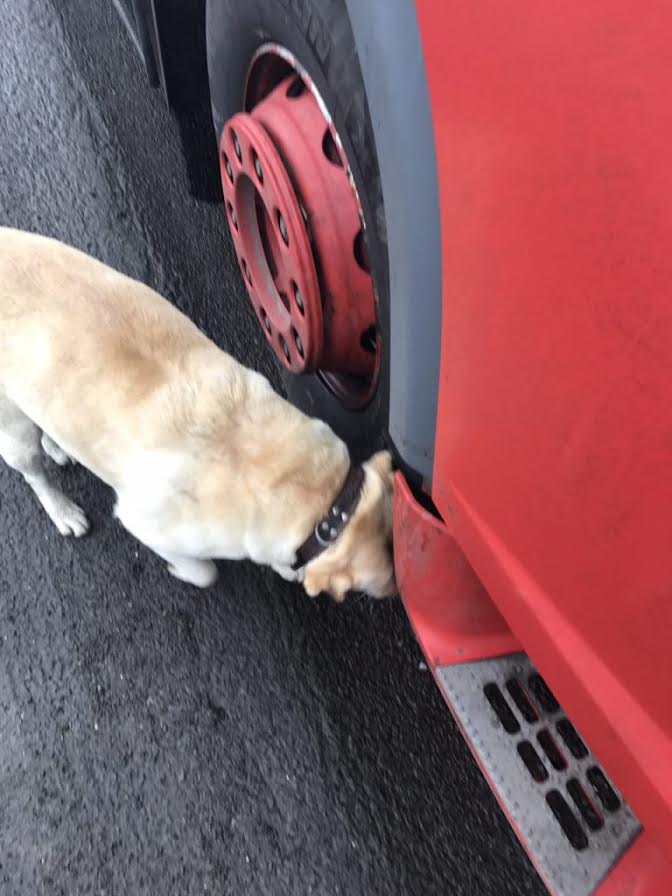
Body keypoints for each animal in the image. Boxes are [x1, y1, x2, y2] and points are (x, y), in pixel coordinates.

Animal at [0, 228, 396, 601]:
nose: (400, 590)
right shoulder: (144, 523)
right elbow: (205, 572)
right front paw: (181, 571)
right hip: (14, 431)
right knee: (35, 474)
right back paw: (63, 511)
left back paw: (56, 445)